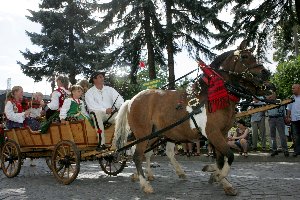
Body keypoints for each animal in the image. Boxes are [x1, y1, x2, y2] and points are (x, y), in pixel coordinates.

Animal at [113, 41, 272, 196]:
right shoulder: (213, 133)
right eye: (245, 56)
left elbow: (221, 159)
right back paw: (145, 185)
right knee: (137, 155)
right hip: (143, 134)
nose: (266, 73)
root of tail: (131, 100)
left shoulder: (222, 133)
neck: (214, 96)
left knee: (148, 154)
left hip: (155, 134)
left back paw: (150, 175)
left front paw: (222, 181)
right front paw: (219, 176)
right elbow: (230, 156)